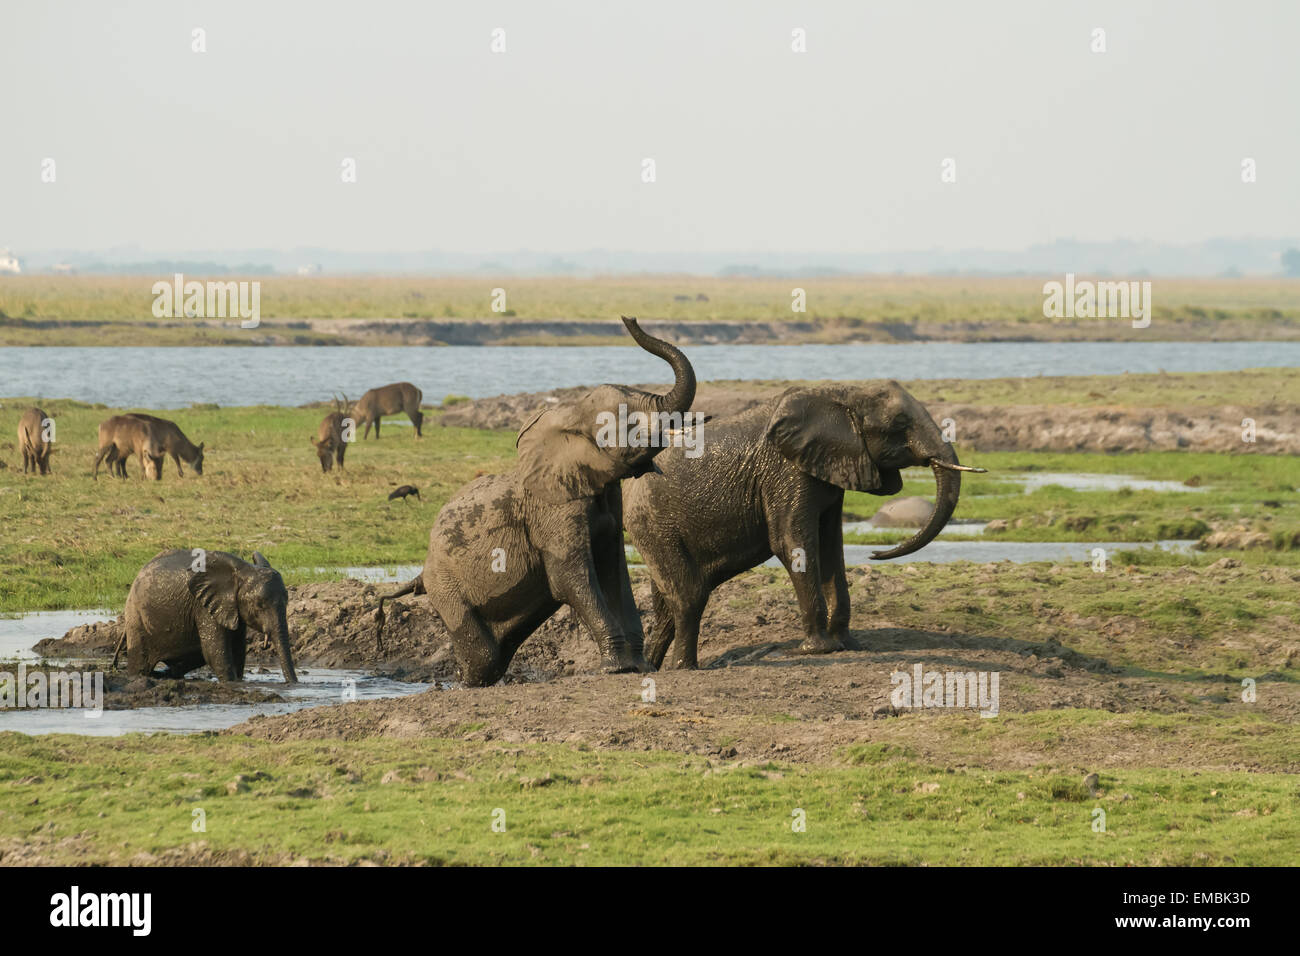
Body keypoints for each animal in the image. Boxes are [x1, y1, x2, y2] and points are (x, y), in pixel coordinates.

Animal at [113, 548, 297, 686]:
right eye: (260, 605)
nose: (293, 684)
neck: (243, 570)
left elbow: (237, 650)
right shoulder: (202, 607)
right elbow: (215, 652)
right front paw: (231, 683)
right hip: (137, 618)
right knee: (141, 664)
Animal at [377, 319, 696, 686]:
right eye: (629, 421)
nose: (628, 319)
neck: (570, 413)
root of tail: (422, 572)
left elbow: (615, 573)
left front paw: (639, 668)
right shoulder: (552, 510)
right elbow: (570, 579)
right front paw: (616, 668)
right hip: (446, 589)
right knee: (482, 655)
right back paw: (466, 684)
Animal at [621, 382, 982, 671]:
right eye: (900, 424)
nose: (875, 554)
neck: (841, 393)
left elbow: (830, 545)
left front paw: (846, 645)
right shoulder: (785, 471)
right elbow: (791, 542)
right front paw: (819, 649)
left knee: (667, 603)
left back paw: (650, 667)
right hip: (651, 522)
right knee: (688, 595)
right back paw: (682, 668)